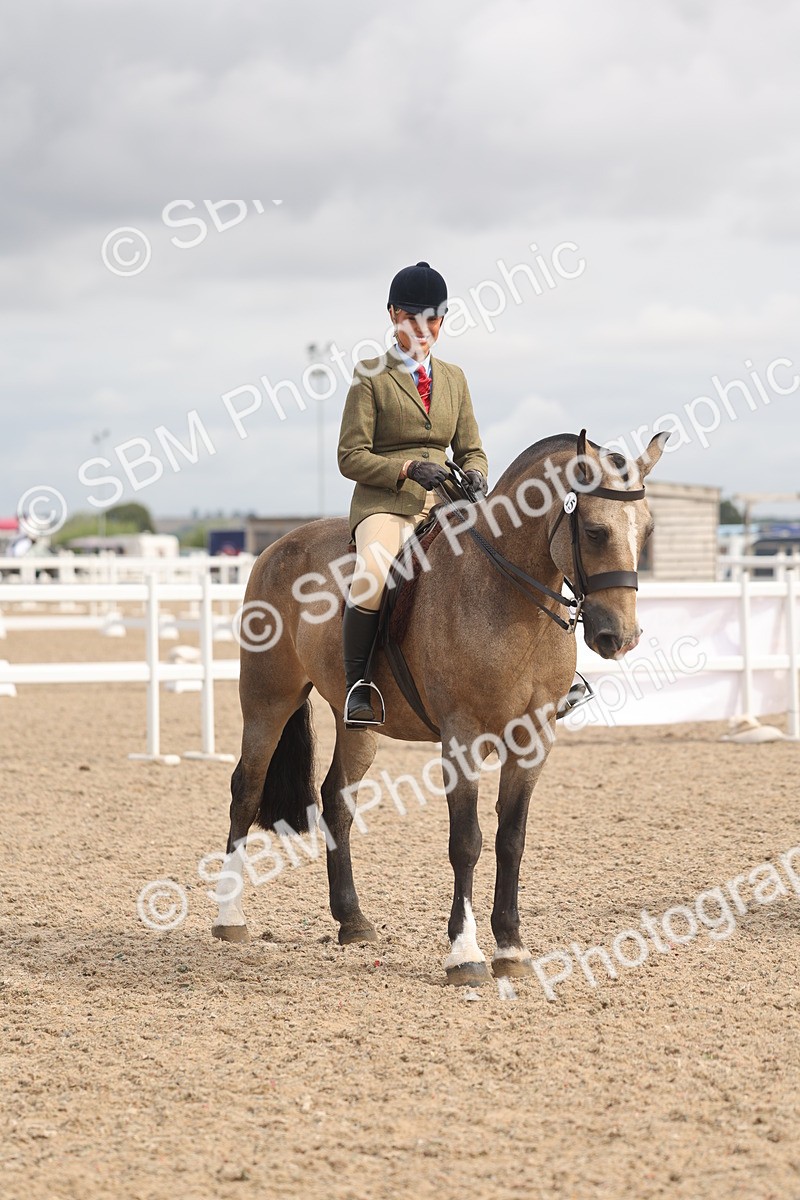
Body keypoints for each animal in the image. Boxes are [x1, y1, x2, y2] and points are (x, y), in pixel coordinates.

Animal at [211, 429, 669, 985]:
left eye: (646, 530)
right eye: (597, 532)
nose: (619, 637)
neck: (509, 598)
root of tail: (276, 547)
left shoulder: (533, 739)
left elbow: (511, 838)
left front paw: (511, 948)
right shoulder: (462, 738)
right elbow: (466, 841)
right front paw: (465, 953)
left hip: (357, 724)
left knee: (336, 801)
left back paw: (353, 921)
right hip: (267, 700)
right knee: (246, 791)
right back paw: (230, 918)